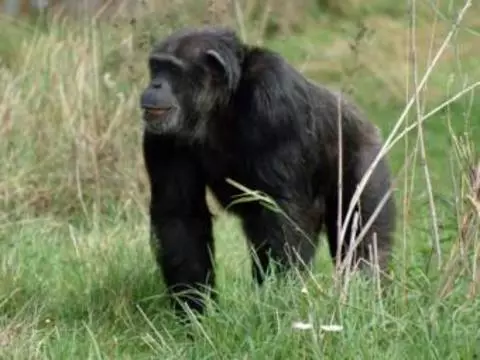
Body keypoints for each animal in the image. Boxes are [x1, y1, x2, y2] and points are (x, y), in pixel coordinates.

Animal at [140, 26, 398, 316]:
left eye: (172, 70)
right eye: (156, 67)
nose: (155, 84)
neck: (221, 104)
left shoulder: (275, 99)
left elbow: (280, 210)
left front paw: (279, 300)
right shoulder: (161, 134)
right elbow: (179, 213)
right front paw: (194, 312)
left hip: (368, 164)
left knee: (363, 241)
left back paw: (366, 298)